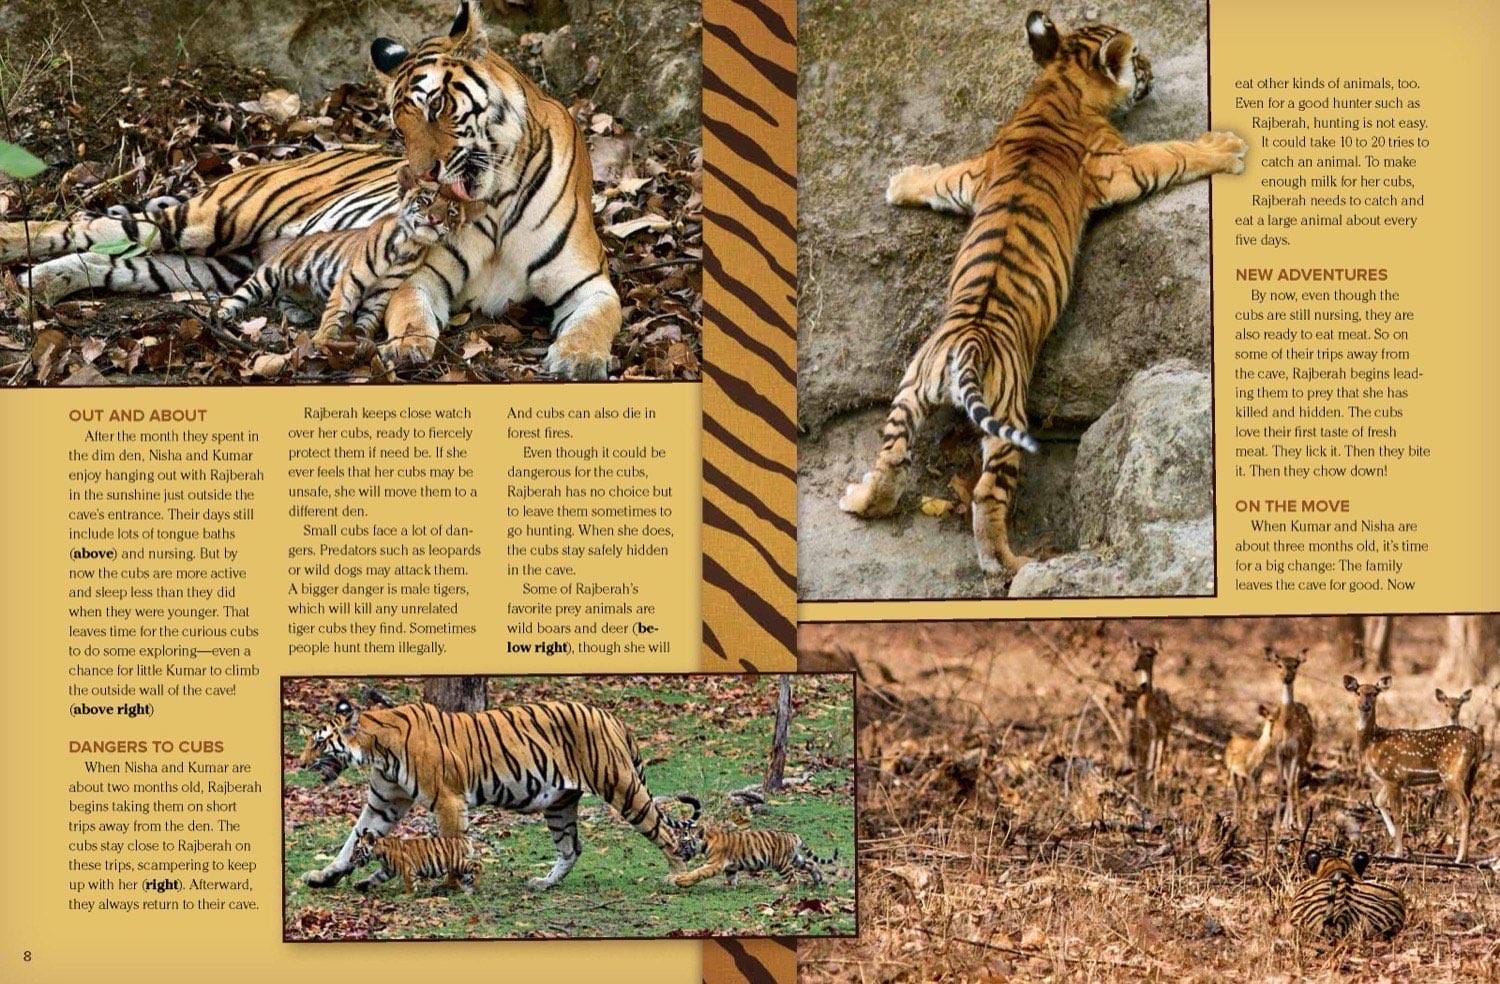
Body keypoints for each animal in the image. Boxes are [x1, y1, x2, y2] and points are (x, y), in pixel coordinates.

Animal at [214, 173, 474, 347]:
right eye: (425, 201)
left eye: (451, 212)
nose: (435, 219)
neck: (408, 245)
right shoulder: (351, 279)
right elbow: (335, 311)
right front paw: (322, 341)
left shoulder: (382, 293)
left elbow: (369, 319)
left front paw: (360, 340)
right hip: (269, 273)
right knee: (238, 295)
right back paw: (221, 315)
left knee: (282, 298)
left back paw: (299, 314)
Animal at [349, 831, 483, 895]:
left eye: (356, 851)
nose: (350, 860)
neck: (379, 854)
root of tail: (466, 839)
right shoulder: (386, 870)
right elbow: (374, 877)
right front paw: (360, 885)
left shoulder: (407, 868)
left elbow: (409, 884)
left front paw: (407, 896)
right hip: (460, 868)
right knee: (468, 877)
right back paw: (468, 891)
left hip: (458, 862)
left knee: (478, 865)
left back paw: (476, 886)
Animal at [669, 825, 840, 888]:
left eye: (683, 842)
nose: (675, 852)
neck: (706, 842)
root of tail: (793, 835)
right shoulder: (730, 867)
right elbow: (731, 878)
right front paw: (730, 888)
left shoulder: (714, 864)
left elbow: (698, 872)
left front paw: (682, 881)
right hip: (795, 858)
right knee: (811, 863)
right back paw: (818, 879)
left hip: (781, 863)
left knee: (792, 879)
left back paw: (780, 889)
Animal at [838, 11, 1247, 577]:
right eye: (1136, 55)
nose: (1151, 67)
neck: (1058, 82)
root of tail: (965, 345)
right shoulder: (1118, 164)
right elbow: (1171, 152)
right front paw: (1225, 147)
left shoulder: (974, 172)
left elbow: (939, 178)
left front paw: (900, 180)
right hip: (1007, 416)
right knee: (987, 495)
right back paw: (1011, 564)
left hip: (909, 389)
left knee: (892, 458)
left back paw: (860, 500)